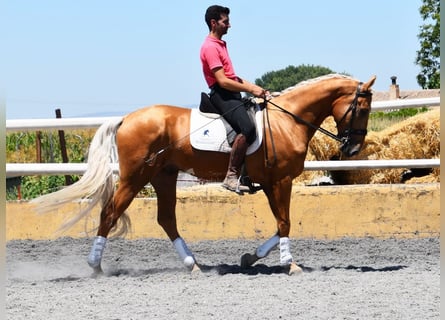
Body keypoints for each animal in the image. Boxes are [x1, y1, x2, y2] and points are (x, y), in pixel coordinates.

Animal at [33, 73, 376, 276]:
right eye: (361, 109)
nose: (354, 148)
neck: (287, 120)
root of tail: (127, 118)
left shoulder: (271, 183)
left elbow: (281, 224)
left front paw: (251, 257)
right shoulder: (280, 181)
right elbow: (285, 223)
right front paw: (289, 264)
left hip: (163, 175)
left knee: (166, 219)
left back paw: (192, 264)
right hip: (134, 177)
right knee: (110, 213)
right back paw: (95, 265)